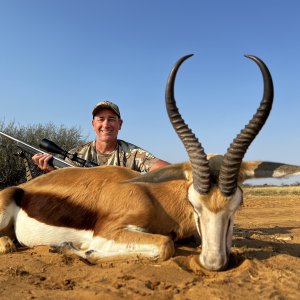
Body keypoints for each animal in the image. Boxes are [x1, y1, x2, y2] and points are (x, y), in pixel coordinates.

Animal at [0, 54, 300, 272]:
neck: (153, 196)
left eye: (239, 204)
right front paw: (75, 249)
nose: (213, 263)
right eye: (194, 204)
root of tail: (24, 189)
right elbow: (165, 245)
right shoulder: (108, 231)